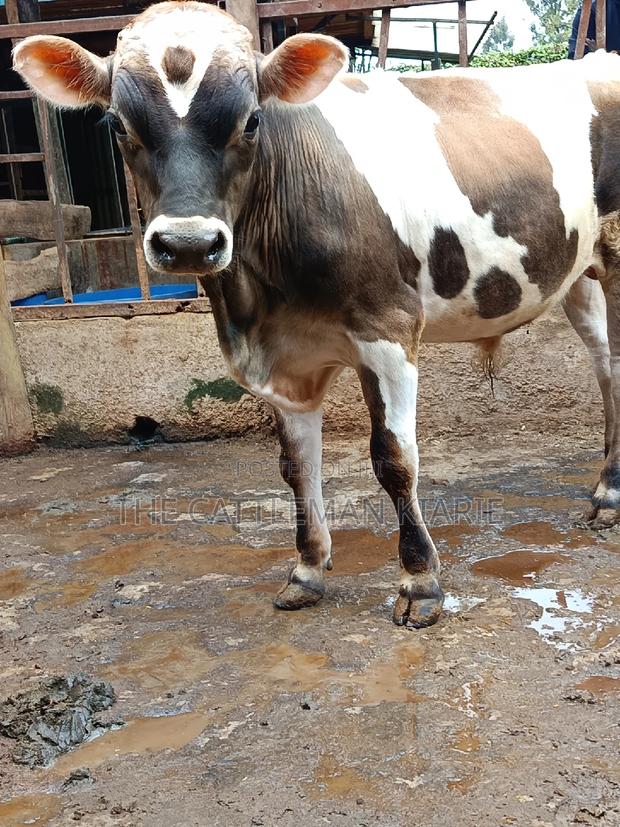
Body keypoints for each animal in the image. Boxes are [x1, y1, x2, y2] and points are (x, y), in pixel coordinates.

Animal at [13, 1, 620, 629]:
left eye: (252, 121)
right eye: (116, 125)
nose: (188, 243)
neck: (261, 301)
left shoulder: (388, 330)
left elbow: (394, 459)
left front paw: (420, 582)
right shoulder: (282, 358)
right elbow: (296, 464)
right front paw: (307, 569)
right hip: (576, 276)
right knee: (607, 368)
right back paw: (606, 492)